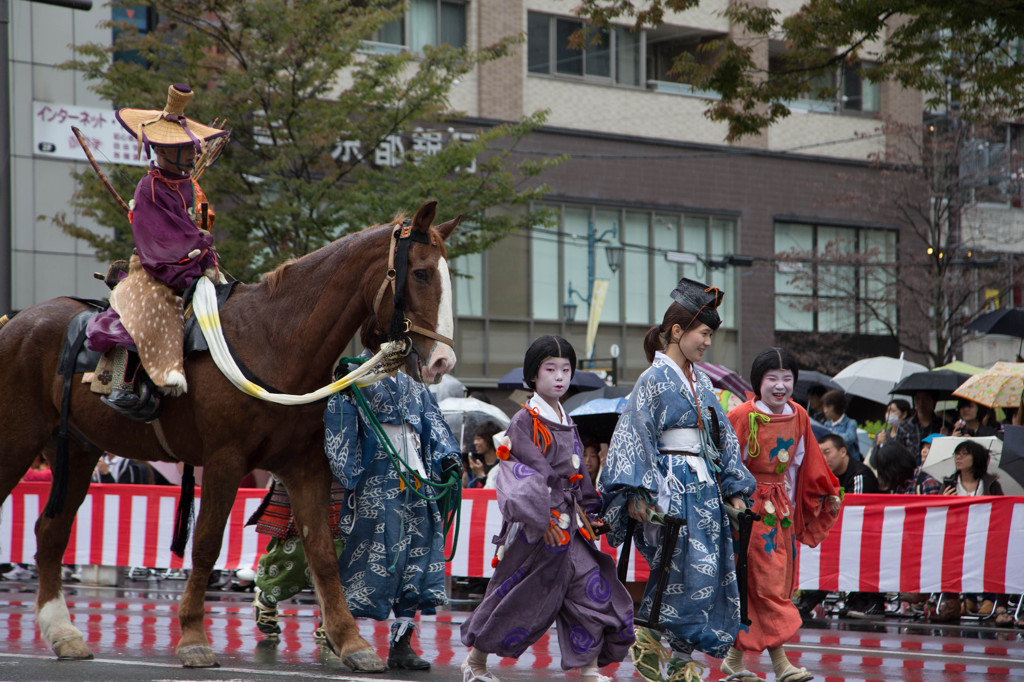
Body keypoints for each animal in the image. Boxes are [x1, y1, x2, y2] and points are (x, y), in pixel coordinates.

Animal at [0, 199, 460, 667]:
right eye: (422, 273)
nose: (442, 362)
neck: (275, 340)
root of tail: (17, 321)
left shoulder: (303, 466)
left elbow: (322, 553)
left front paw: (351, 641)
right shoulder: (225, 458)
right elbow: (206, 543)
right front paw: (192, 636)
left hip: (77, 448)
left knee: (51, 532)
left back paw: (63, 633)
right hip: (17, 436)